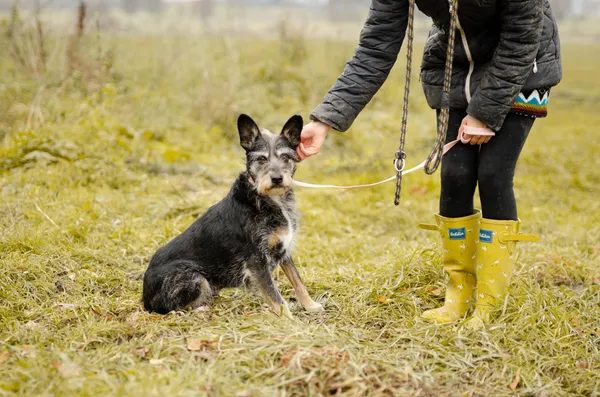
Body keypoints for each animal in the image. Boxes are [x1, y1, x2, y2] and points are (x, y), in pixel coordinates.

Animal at [141, 113, 324, 316]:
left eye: (285, 157)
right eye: (261, 159)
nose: (277, 178)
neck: (270, 199)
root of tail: (145, 298)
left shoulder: (284, 249)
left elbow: (298, 281)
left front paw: (310, 306)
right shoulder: (257, 260)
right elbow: (275, 295)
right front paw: (290, 320)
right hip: (193, 277)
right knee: (174, 309)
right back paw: (201, 309)